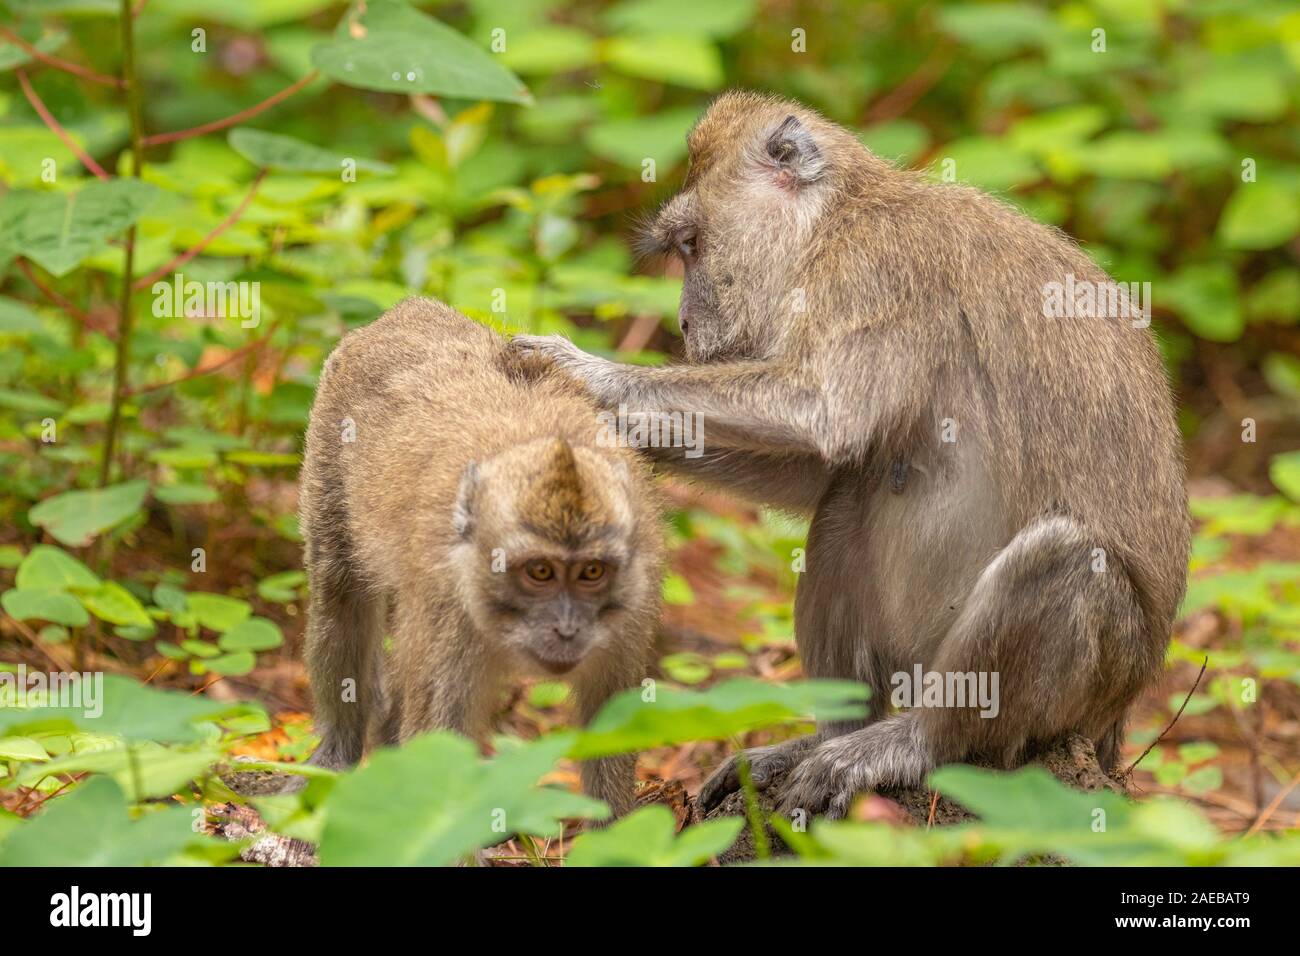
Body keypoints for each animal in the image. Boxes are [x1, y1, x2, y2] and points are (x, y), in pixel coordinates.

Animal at [298, 297, 664, 817]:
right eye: (540, 572)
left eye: (591, 572)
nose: (567, 629)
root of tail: (412, 309)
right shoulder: (450, 608)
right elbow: (439, 746)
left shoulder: (632, 608)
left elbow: (609, 723)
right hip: (330, 432)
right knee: (339, 590)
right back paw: (338, 752)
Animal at [510, 91, 1190, 819]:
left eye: (691, 245)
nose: (685, 321)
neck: (838, 216)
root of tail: (1117, 727)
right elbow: (826, 466)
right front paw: (622, 432)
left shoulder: (874, 269)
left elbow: (826, 412)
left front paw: (590, 374)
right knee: (847, 502)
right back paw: (830, 734)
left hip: (1087, 686)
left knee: (1063, 559)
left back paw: (912, 742)